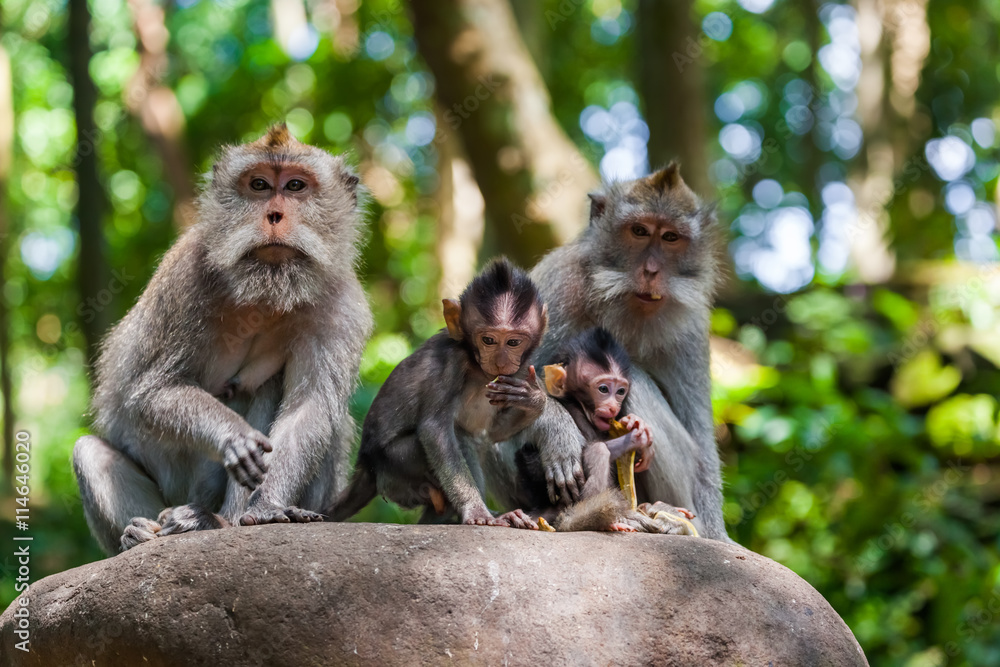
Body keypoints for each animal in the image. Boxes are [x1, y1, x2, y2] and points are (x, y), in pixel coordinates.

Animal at [72, 124, 373, 554]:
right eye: (259, 185)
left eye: (296, 186)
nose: (274, 214)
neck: (266, 290)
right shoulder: (185, 277)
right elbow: (152, 391)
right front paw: (234, 437)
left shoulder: (343, 308)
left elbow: (310, 408)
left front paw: (265, 507)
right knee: (90, 453)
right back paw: (141, 533)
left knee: (276, 391)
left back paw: (215, 521)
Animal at [324, 258, 546, 529]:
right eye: (488, 340)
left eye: (513, 342)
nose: (501, 361)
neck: (475, 366)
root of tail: (367, 466)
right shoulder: (449, 364)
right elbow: (434, 430)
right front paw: (475, 510)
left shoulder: (520, 370)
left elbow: (492, 434)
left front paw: (533, 399)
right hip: (395, 466)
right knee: (459, 437)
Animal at [494, 163, 729, 540]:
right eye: (639, 231)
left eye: (670, 238)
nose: (651, 271)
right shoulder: (556, 286)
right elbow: (500, 381)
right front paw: (557, 431)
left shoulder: (692, 325)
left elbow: (700, 440)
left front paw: (716, 533)